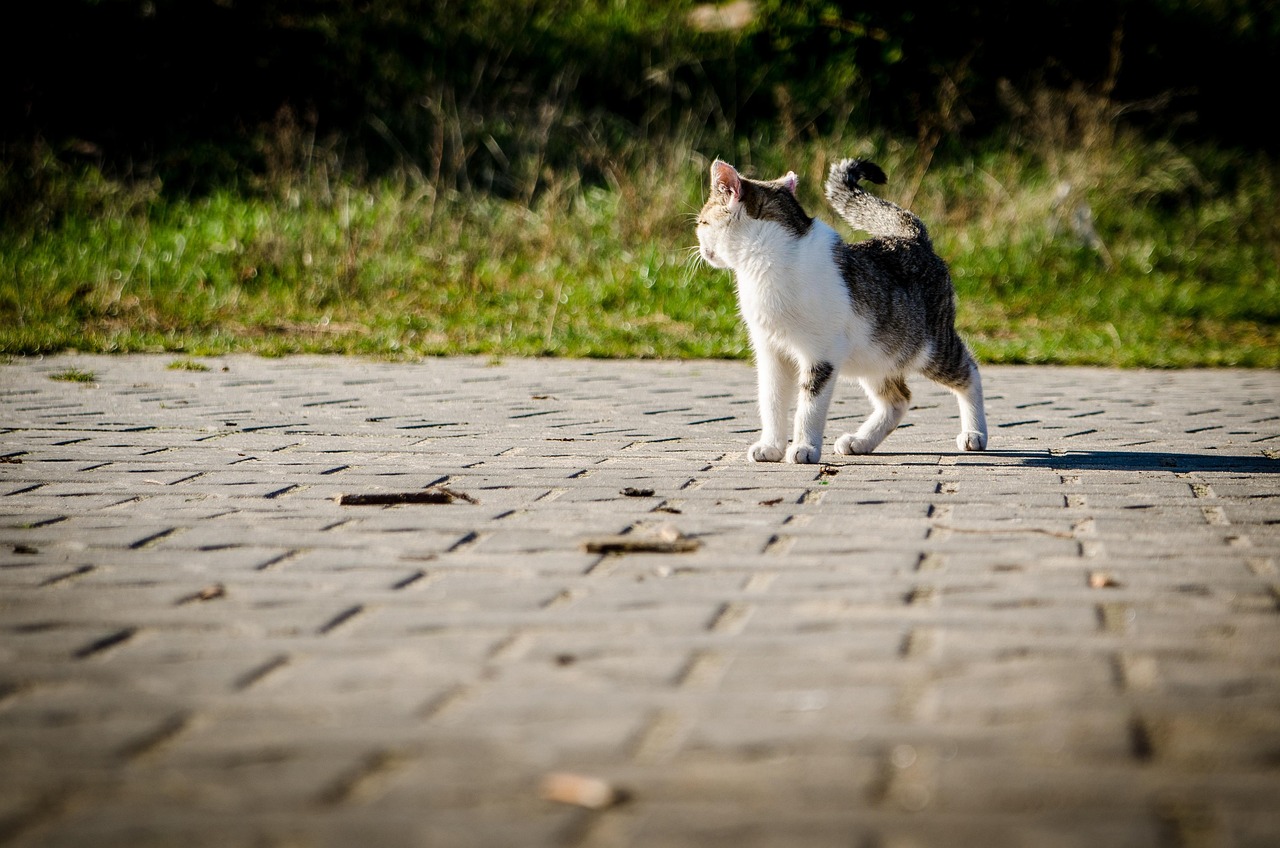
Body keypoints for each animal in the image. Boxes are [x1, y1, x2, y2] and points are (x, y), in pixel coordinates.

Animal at [701, 157, 988, 466]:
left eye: (702, 222)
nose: (701, 246)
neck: (767, 260)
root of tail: (912, 237)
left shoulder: (821, 354)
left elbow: (809, 406)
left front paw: (804, 447)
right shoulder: (770, 351)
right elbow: (772, 401)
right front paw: (771, 446)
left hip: (928, 348)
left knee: (969, 371)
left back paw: (975, 432)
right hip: (876, 356)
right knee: (898, 399)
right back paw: (861, 441)